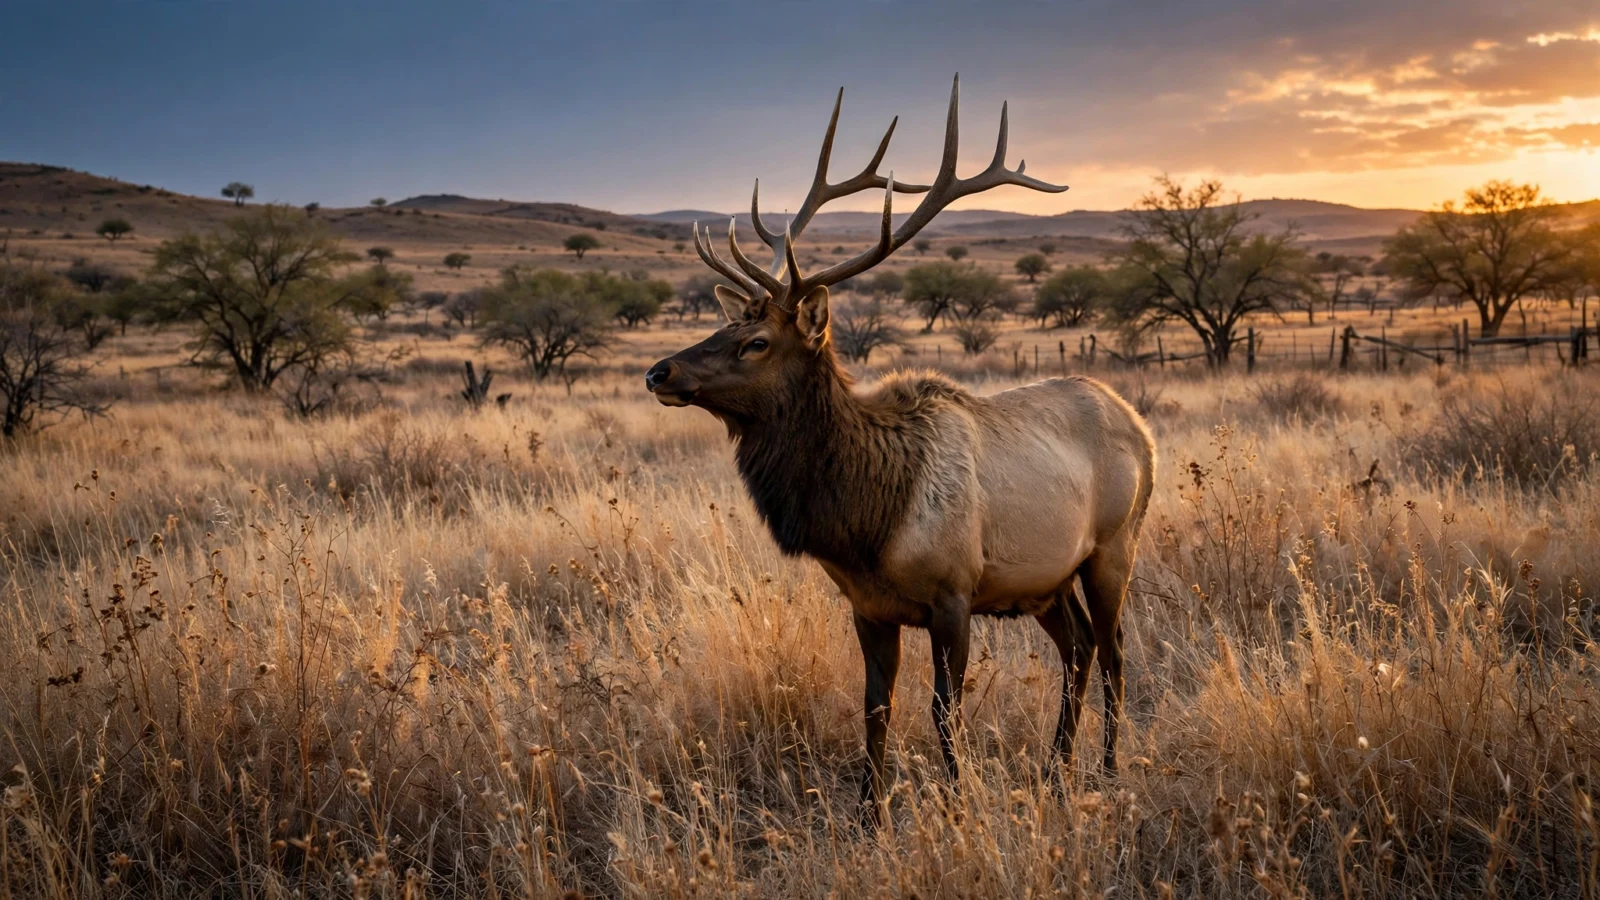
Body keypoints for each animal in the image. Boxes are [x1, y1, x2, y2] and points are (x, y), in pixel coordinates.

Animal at [644, 76, 1156, 823]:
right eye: (721, 325)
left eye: (756, 342)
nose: (659, 371)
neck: (866, 523)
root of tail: (1140, 425)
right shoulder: (868, 607)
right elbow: (876, 711)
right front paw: (868, 816)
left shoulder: (954, 593)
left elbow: (944, 712)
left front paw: (955, 805)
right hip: (1044, 582)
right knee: (1082, 646)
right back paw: (1056, 769)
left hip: (1114, 546)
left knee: (1116, 649)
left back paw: (1109, 768)